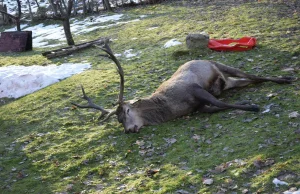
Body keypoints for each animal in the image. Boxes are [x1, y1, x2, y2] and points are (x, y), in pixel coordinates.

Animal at [72, 44, 296, 133]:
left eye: (126, 111)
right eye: (118, 120)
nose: (129, 130)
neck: (171, 107)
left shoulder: (195, 89)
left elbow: (219, 102)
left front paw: (251, 106)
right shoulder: (197, 106)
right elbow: (215, 107)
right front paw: (245, 102)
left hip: (220, 65)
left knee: (253, 75)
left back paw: (286, 78)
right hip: (229, 82)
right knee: (249, 81)